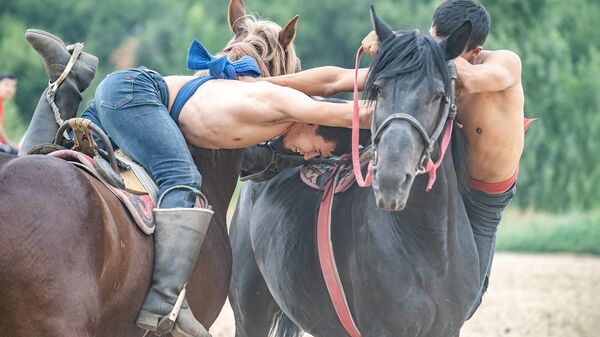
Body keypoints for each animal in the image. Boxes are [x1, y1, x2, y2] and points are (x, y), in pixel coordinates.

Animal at [232, 7, 480, 336]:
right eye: (377, 89)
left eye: (438, 95)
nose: (390, 179)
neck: (430, 247)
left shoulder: (448, 329)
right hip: (251, 312)